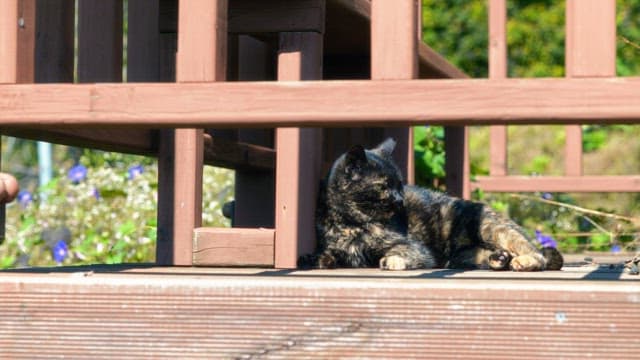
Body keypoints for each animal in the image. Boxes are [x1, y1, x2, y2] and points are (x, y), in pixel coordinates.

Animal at [298, 138, 564, 270]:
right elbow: (329, 254)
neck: (353, 224)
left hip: (492, 229)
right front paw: (312, 259)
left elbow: (399, 253)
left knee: (536, 253)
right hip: (463, 256)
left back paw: (523, 262)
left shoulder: (415, 249)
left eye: (400, 184)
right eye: (384, 186)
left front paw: (392, 261)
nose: (400, 199)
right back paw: (499, 260)